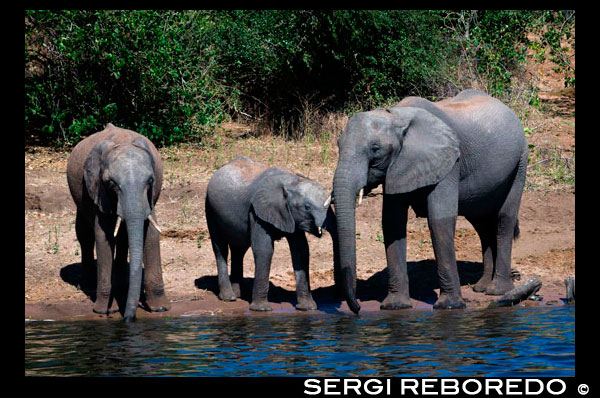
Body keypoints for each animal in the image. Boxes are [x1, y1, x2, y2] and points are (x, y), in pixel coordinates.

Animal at [67, 123, 170, 322]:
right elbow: (103, 235)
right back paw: (88, 284)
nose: (128, 320)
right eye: (111, 183)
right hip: (79, 193)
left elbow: (150, 234)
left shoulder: (150, 196)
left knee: (123, 236)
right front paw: (105, 310)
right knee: (84, 233)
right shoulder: (99, 190)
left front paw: (160, 308)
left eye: (150, 180)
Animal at [205, 155, 338, 310]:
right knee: (220, 248)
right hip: (210, 208)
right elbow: (264, 249)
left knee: (239, 250)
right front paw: (261, 309)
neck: (291, 181)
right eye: (307, 207)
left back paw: (237, 295)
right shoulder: (256, 211)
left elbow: (301, 250)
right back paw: (229, 297)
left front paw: (307, 308)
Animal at [336, 90, 528, 314]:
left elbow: (439, 221)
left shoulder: (449, 162)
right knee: (482, 226)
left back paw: (497, 291)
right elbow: (392, 223)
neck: (396, 116)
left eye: (375, 149)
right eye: (338, 145)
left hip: (521, 161)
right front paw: (395, 307)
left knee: (504, 220)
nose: (357, 308)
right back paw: (481, 288)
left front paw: (449, 307)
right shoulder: (398, 165)